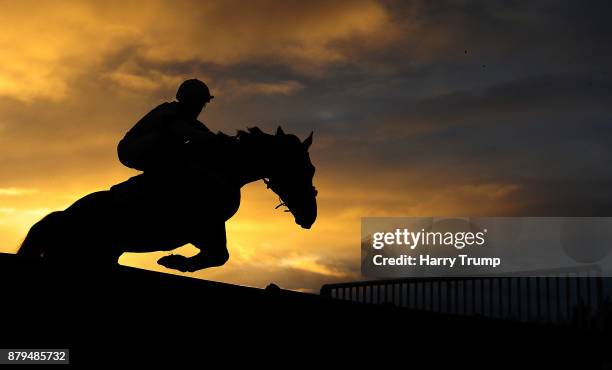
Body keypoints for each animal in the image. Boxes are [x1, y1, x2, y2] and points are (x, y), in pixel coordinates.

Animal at [17, 127, 318, 272]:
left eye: (311, 170)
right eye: (302, 169)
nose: (310, 216)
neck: (223, 169)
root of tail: (58, 218)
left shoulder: (207, 228)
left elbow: (219, 255)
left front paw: (175, 261)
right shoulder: (202, 226)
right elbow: (219, 255)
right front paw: (174, 262)